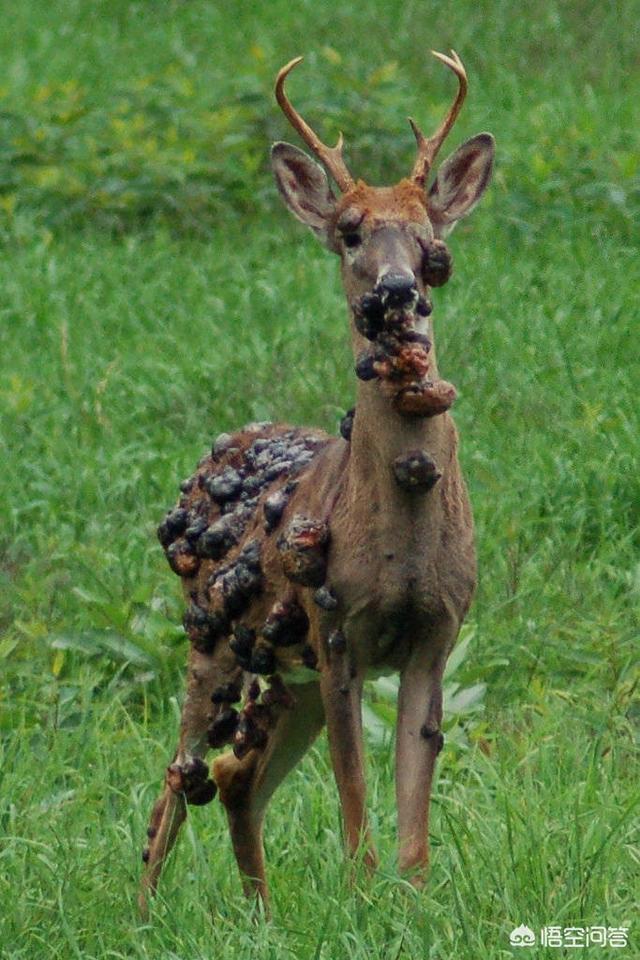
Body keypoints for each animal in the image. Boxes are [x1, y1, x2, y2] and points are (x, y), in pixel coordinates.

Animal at [140, 50, 496, 916]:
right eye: (350, 230)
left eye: (433, 240)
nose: (397, 290)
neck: (405, 532)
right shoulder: (338, 634)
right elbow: (355, 796)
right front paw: (363, 899)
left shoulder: (438, 634)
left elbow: (412, 807)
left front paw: (413, 903)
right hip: (213, 640)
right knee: (177, 780)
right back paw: (143, 916)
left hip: (278, 666)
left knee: (235, 778)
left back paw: (262, 917)